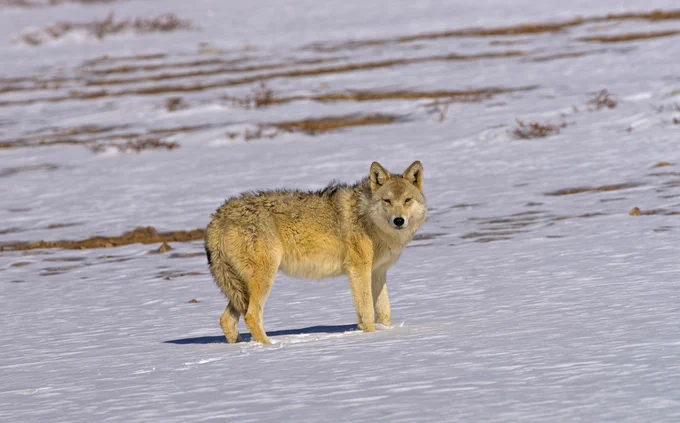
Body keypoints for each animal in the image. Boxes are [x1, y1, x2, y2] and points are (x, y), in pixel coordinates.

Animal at [205, 161, 427, 344]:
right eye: (387, 201)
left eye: (407, 200)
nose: (399, 221)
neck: (368, 219)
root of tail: (217, 217)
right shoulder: (359, 270)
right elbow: (367, 312)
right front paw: (371, 337)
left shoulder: (378, 272)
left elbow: (385, 312)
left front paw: (387, 334)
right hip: (264, 277)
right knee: (251, 315)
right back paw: (270, 348)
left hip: (240, 288)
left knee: (226, 319)